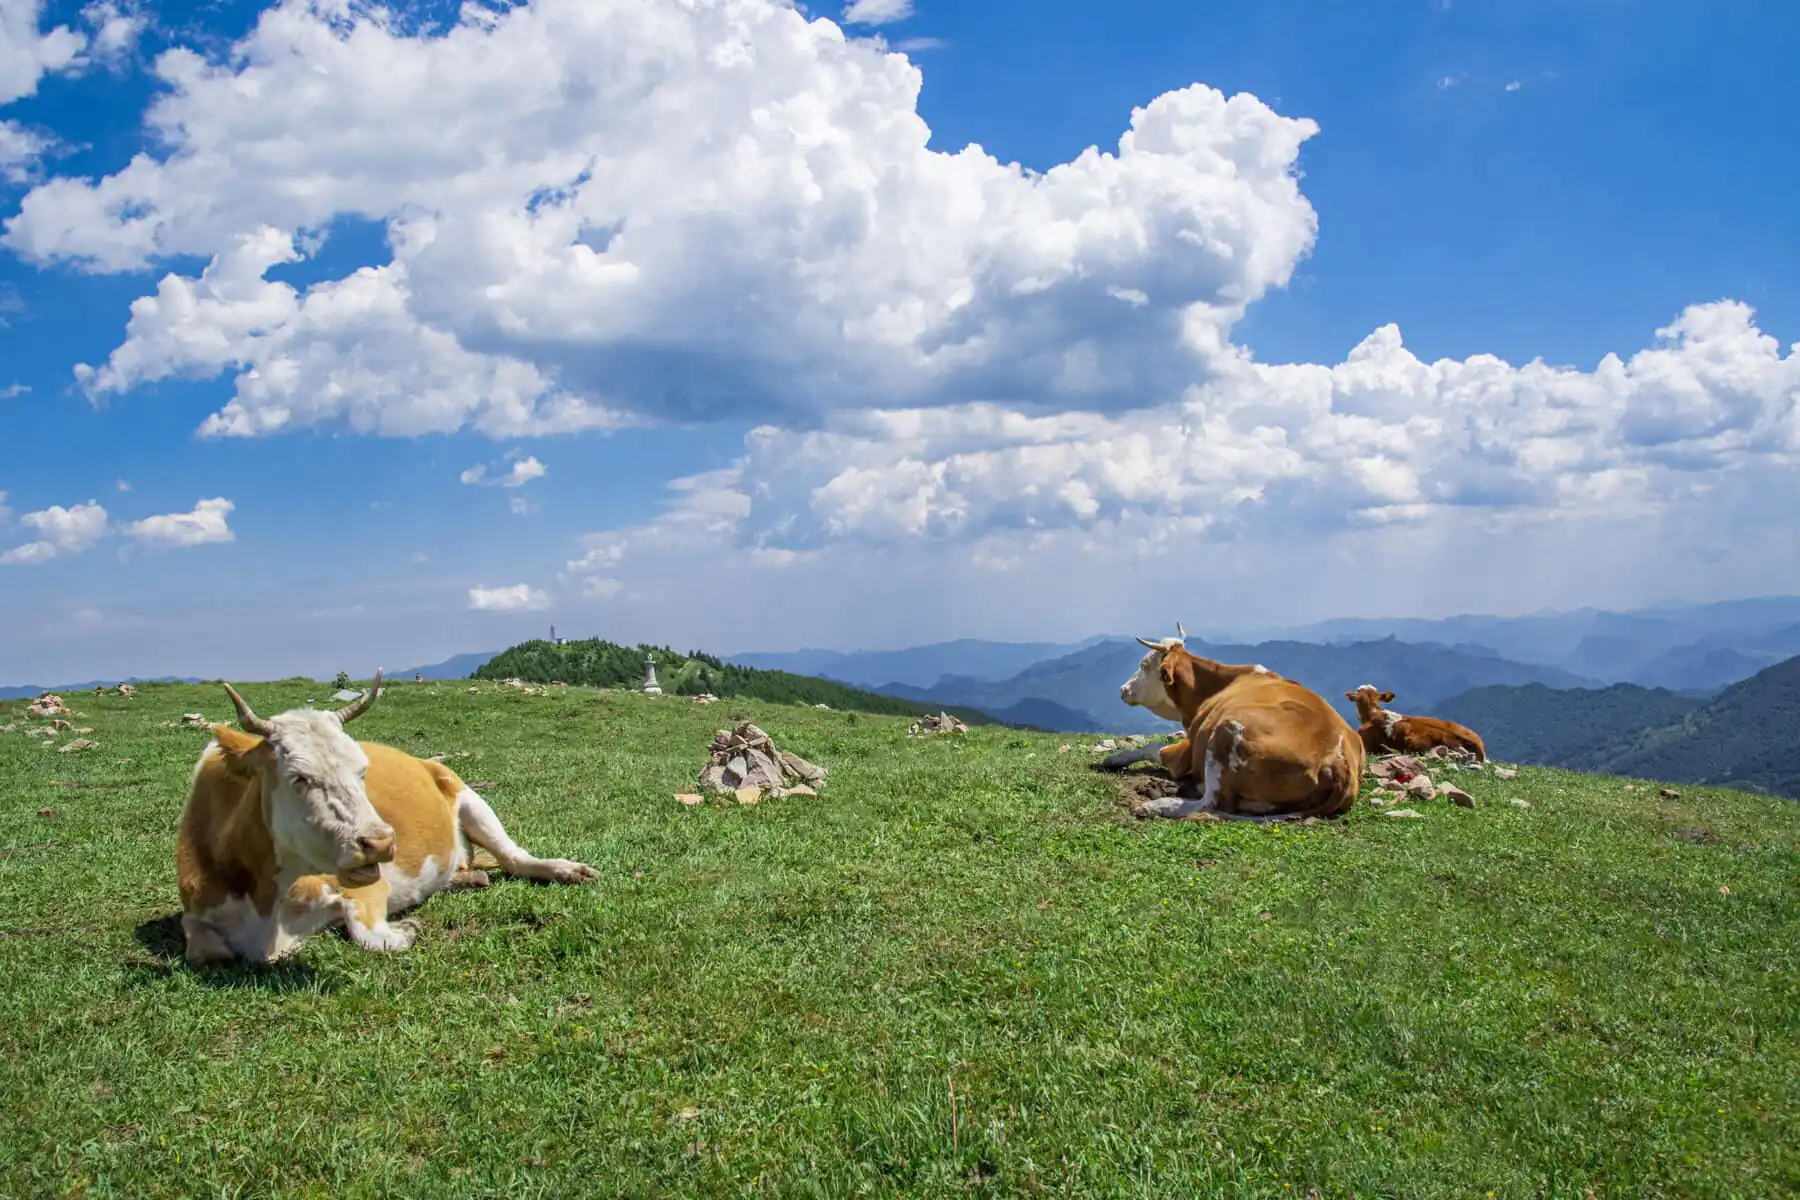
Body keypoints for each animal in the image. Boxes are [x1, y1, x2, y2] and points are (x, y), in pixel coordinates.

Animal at [176, 670, 597, 966]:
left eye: (362, 770)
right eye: (299, 778)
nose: (380, 843)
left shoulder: (366, 885)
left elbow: (369, 933)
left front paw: (407, 929)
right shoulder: (196, 907)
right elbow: (205, 949)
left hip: (468, 797)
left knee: (515, 858)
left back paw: (566, 869)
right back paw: (468, 878)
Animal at [1118, 629, 1363, 819]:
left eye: (1144, 664)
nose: (1123, 689)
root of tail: (1337, 760)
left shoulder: (1186, 752)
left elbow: (1153, 748)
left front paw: (1116, 759)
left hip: (1226, 731)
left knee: (1211, 802)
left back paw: (1157, 805)